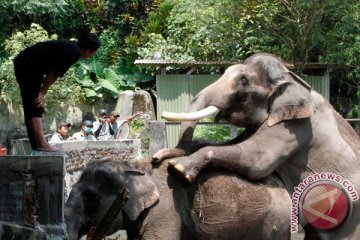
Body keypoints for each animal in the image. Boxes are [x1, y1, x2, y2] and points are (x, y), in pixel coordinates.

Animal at [153, 52, 360, 238]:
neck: (290, 77)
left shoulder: (296, 125)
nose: (155, 157)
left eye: (243, 81)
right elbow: (235, 143)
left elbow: (256, 160)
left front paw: (179, 167)